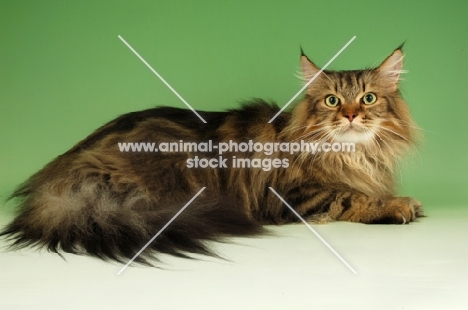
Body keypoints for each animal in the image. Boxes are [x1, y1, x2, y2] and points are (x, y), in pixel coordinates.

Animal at [0, 45, 424, 264]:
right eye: (333, 101)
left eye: (368, 98)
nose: (351, 115)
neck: (353, 154)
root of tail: (56, 180)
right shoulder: (295, 196)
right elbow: (351, 197)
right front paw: (397, 205)